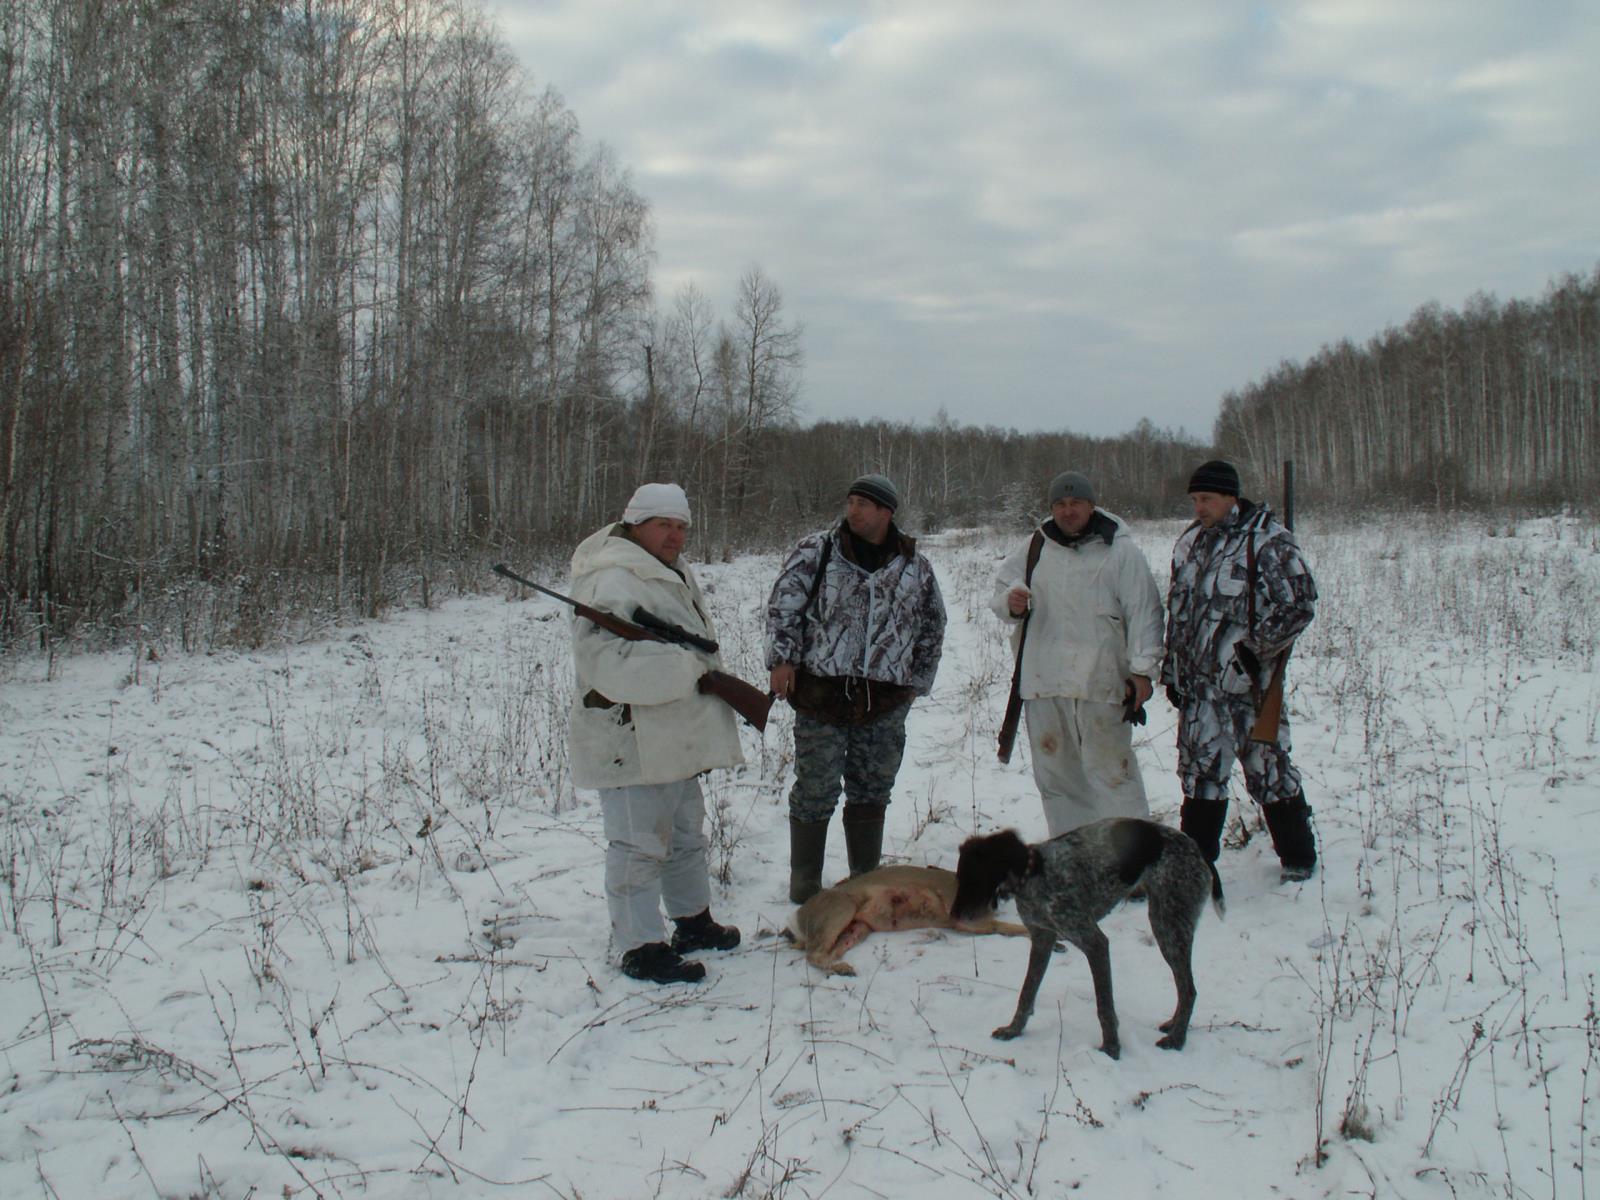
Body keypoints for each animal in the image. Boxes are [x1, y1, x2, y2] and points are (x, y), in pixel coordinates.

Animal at [788, 864, 1029, 976]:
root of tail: (797, 917)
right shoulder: (965, 918)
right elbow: (1004, 926)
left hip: (858, 929)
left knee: (826, 952)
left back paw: (843, 969)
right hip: (841, 908)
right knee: (813, 953)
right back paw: (844, 968)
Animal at [952, 819, 1223, 1058]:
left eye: (973, 877)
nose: (953, 915)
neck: (1035, 874)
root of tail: (1198, 850)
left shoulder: (1094, 943)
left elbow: (1104, 1007)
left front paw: (1111, 1049)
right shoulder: (1042, 939)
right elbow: (1027, 992)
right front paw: (1014, 1030)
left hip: (1170, 928)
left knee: (1189, 990)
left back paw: (1177, 1039)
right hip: (1165, 923)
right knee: (1184, 988)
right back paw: (1173, 1026)